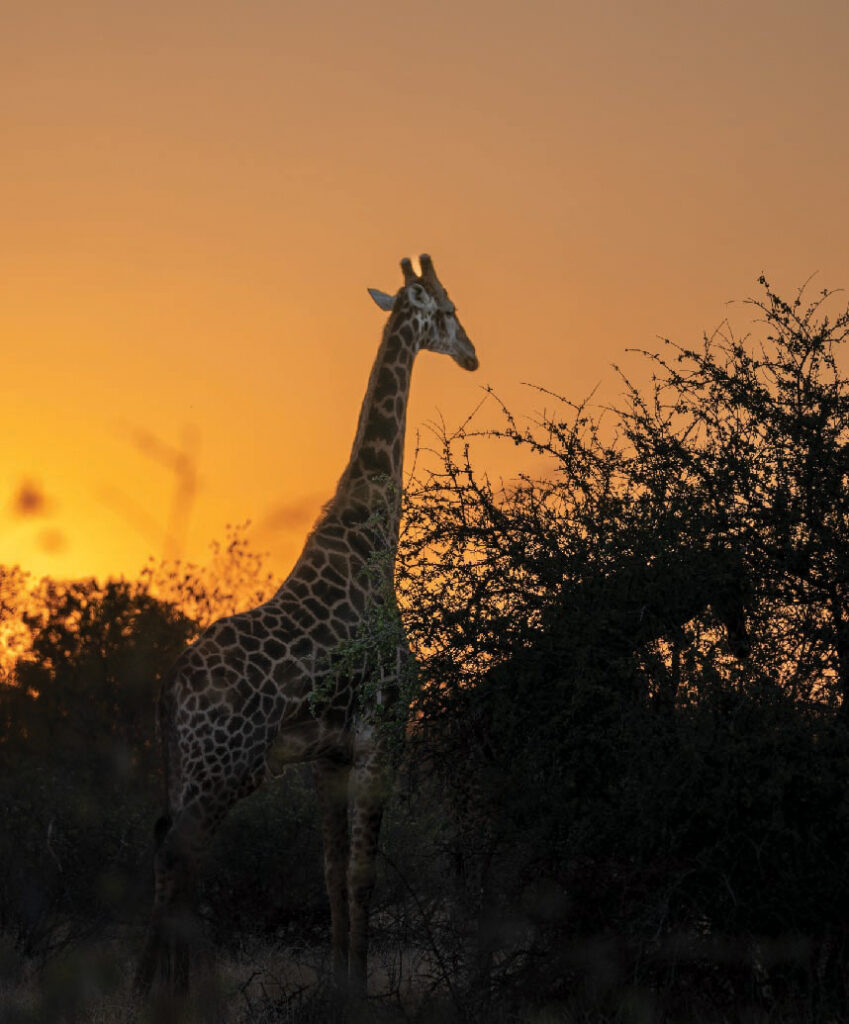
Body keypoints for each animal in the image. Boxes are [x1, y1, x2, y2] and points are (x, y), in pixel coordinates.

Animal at [135, 254, 478, 999]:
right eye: (446, 310)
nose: (472, 354)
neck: (371, 542)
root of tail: (169, 689)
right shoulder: (384, 733)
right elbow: (363, 873)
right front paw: (359, 991)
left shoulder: (329, 752)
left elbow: (330, 874)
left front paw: (339, 982)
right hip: (224, 767)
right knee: (176, 861)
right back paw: (156, 994)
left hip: (187, 769)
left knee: (170, 857)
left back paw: (165, 989)